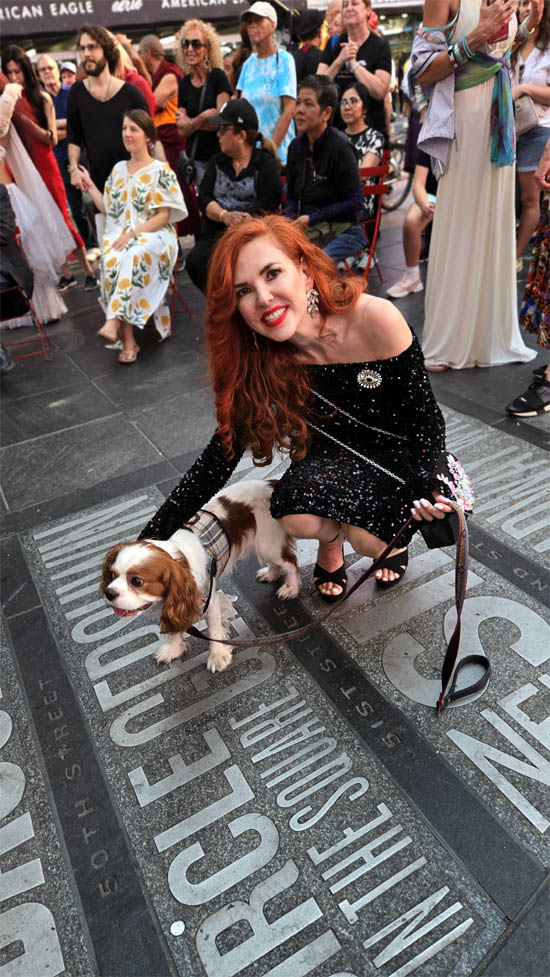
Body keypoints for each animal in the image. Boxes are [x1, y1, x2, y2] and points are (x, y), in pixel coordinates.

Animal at [101, 478, 300, 672]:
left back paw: (291, 588)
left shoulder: (208, 599)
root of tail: (271, 483)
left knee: (290, 562)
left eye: (136, 581)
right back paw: (271, 574)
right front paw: (173, 649)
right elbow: (174, 628)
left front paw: (218, 656)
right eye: (112, 575)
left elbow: (213, 630)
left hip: (268, 545)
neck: (180, 562)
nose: (109, 593)